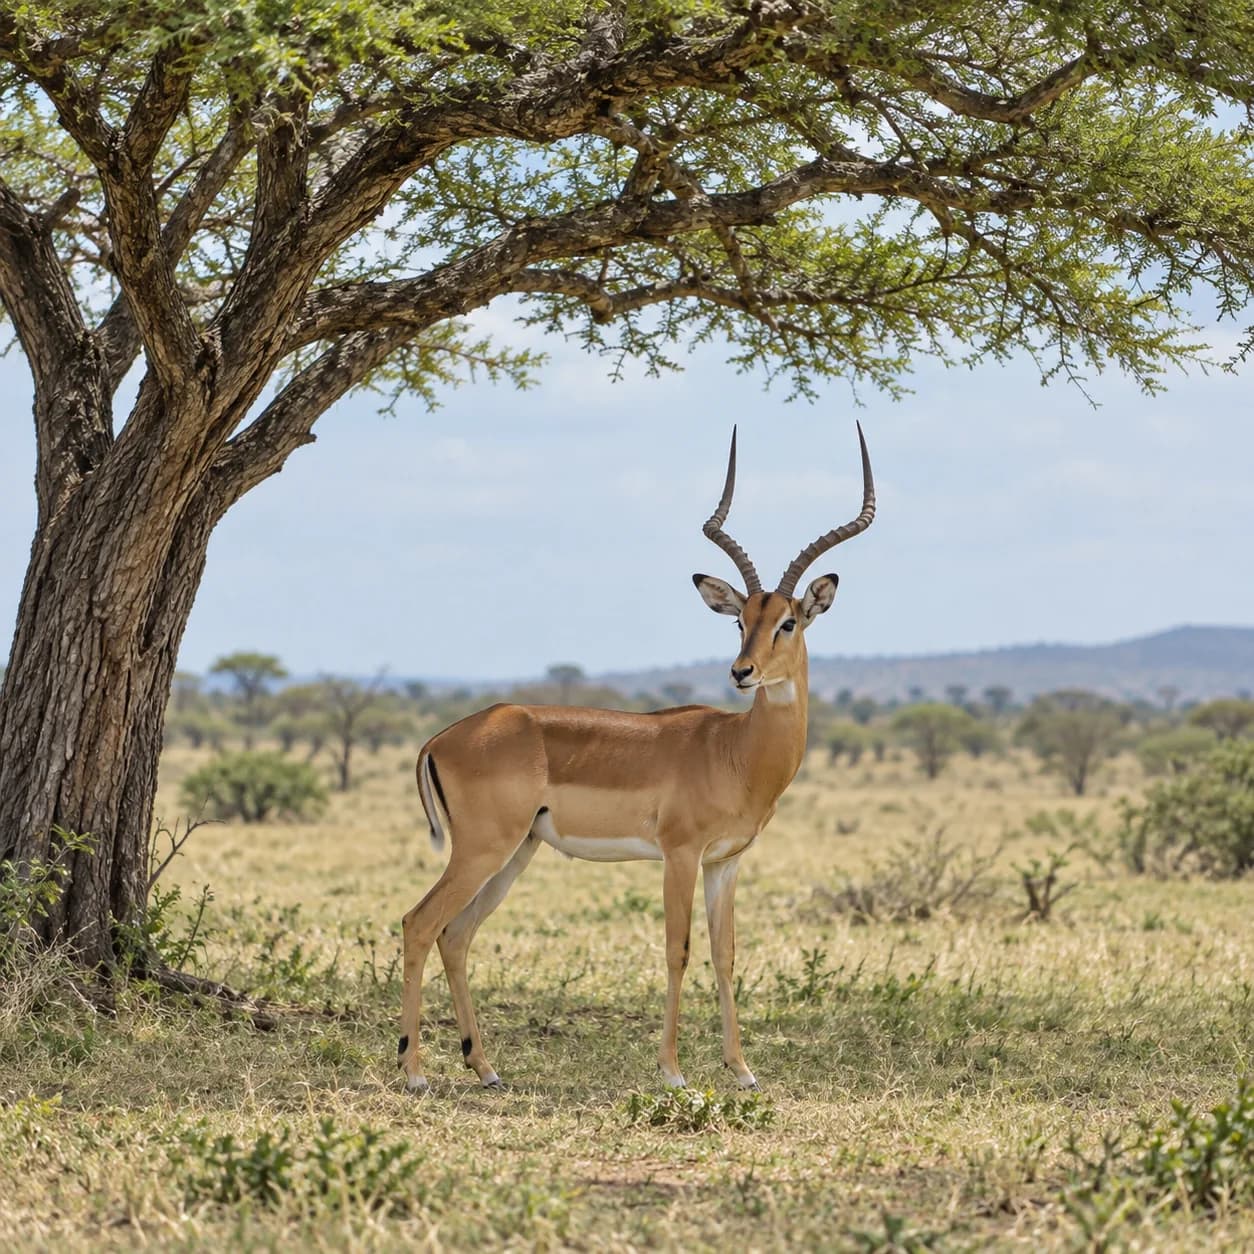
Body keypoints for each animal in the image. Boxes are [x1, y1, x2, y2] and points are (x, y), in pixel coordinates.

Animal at [398, 424, 875, 1092]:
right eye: (739, 621)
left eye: (787, 622)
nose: (742, 672)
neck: (734, 751)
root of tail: (443, 737)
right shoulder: (679, 854)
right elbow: (678, 949)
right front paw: (672, 1071)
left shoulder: (725, 863)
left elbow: (725, 954)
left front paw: (742, 1070)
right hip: (482, 850)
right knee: (419, 923)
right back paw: (414, 1072)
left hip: (516, 852)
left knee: (457, 934)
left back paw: (485, 1068)